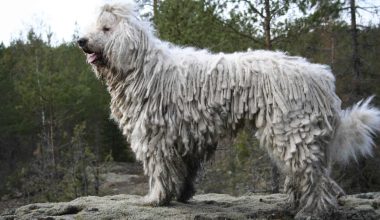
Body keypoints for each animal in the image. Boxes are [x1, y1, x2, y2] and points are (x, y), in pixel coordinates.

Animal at [77, 1, 380, 218]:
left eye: (105, 29)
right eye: (93, 28)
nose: (81, 41)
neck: (141, 68)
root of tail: (323, 79)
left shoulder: (156, 135)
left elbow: (160, 169)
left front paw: (155, 198)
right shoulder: (185, 136)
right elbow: (183, 170)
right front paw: (181, 194)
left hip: (293, 128)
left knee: (314, 177)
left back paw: (311, 211)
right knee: (310, 173)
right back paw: (298, 203)